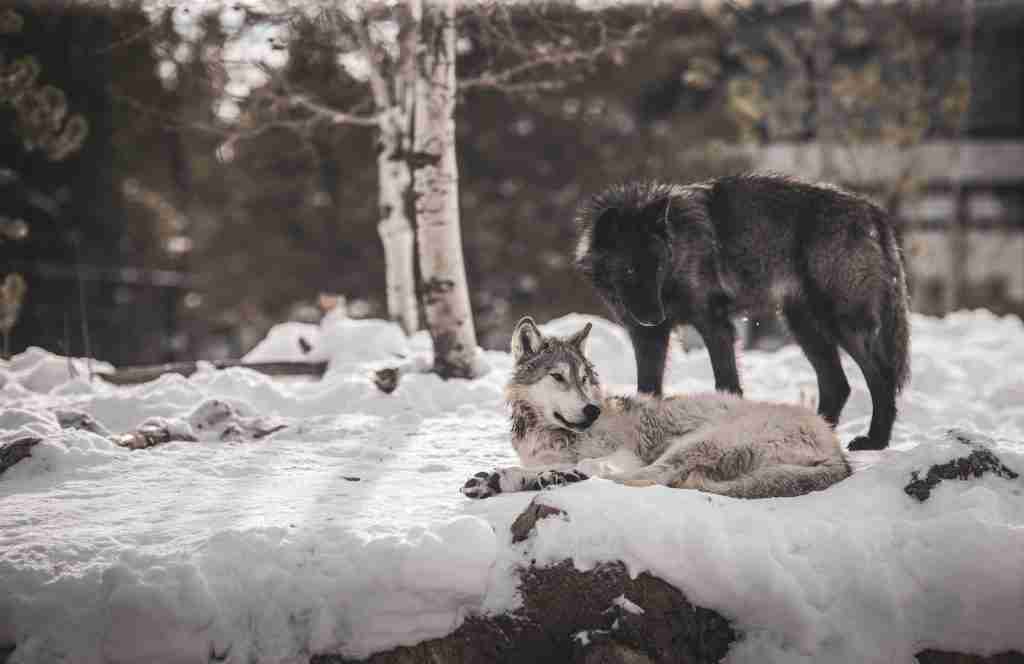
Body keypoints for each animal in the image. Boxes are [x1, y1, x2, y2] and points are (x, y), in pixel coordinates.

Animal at [461, 317, 850, 500]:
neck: (548, 434)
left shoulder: (624, 454)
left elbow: (596, 465)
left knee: (642, 478)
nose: (592, 411)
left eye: (584, 379)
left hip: (694, 443)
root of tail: (838, 450)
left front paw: (540, 475)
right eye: (558, 377)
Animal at [574, 173, 911, 451]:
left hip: (840, 323)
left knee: (881, 376)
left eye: (657, 267)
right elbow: (648, 390)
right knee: (837, 384)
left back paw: (875, 441)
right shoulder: (648, 338)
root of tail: (871, 209)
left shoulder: (714, 325)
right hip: (803, 326)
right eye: (630, 270)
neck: (679, 251)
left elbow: (726, 383)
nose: (655, 317)